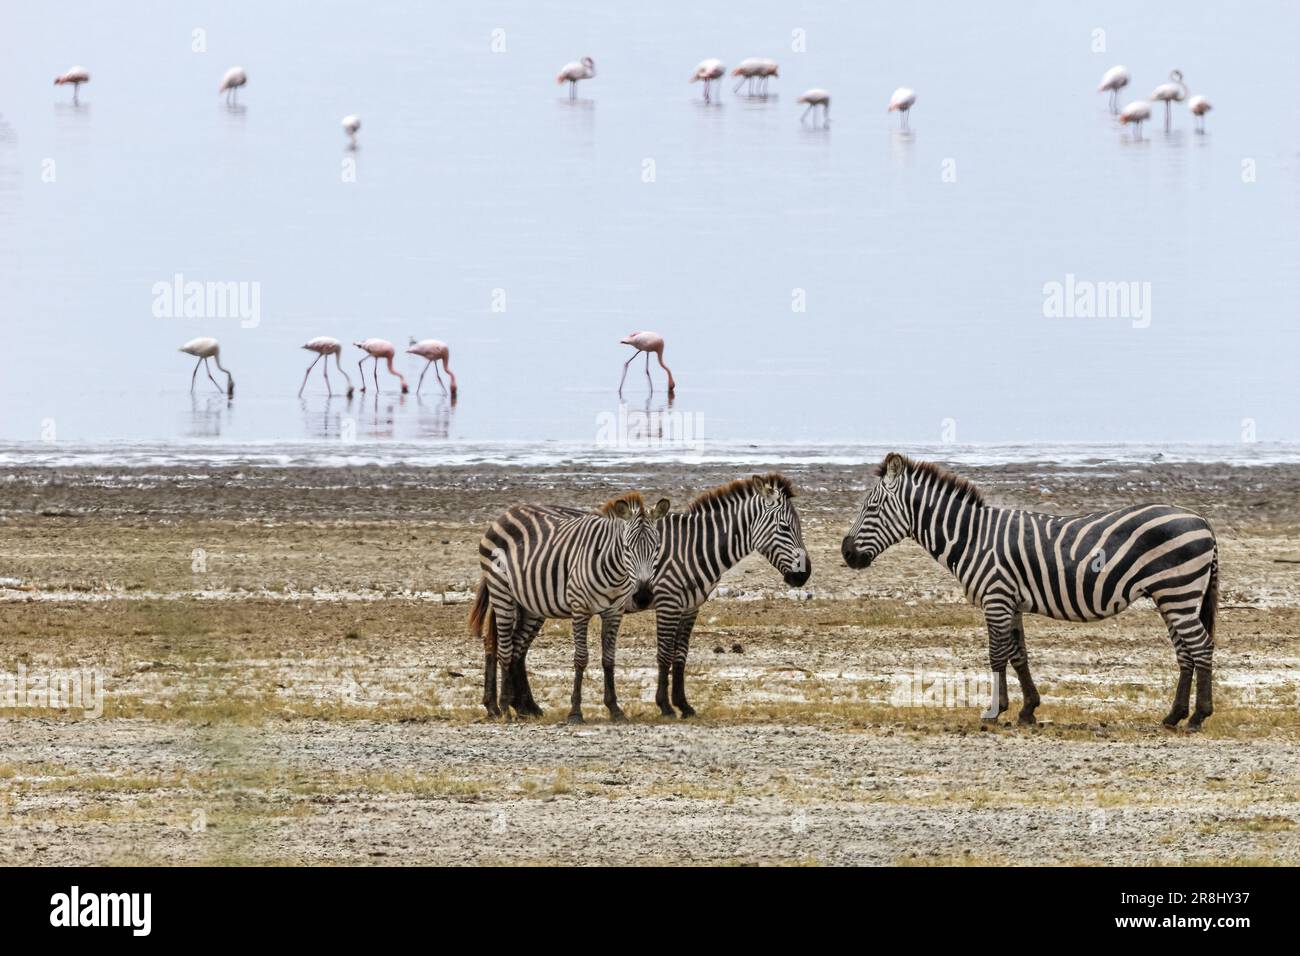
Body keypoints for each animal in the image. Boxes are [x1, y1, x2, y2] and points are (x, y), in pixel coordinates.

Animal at [468, 492, 670, 722]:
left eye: (657, 548)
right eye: (627, 548)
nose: (644, 596)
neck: (614, 569)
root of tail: (506, 513)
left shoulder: (614, 612)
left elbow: (609, 660)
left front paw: (615, 708)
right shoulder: (580, 608)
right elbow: (581, 659)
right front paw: (575, 712)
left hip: (530, 602)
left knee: (515, 647)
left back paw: (520, 707)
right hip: (501, 592)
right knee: (503, 648)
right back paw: (503, 708)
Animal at [506, 474, 811, 718]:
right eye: (785, 528)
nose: (804, 575)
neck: (694, 548)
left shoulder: (690, 607)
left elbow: (680, 656)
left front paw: (684, 705)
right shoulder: (668, 602)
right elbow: (664, 654)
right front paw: (665, 705)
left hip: (533, 604)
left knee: (518, 648)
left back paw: (524, 706)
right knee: (514, 646)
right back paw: (518, 706)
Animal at [840, 453, 1218, 729]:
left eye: (870, 508)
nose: (846, 553)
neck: (971, 538)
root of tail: (1202, 521)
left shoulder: (995, 598)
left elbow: (996, 655)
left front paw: (995, 711)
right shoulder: (1011, 602)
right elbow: (1019, 654)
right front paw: (1028, 710)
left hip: (1178, 592)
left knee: (1201, 646)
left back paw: (1198, 716)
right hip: (1171, 597)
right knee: (1185, 652)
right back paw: (1174, 716)